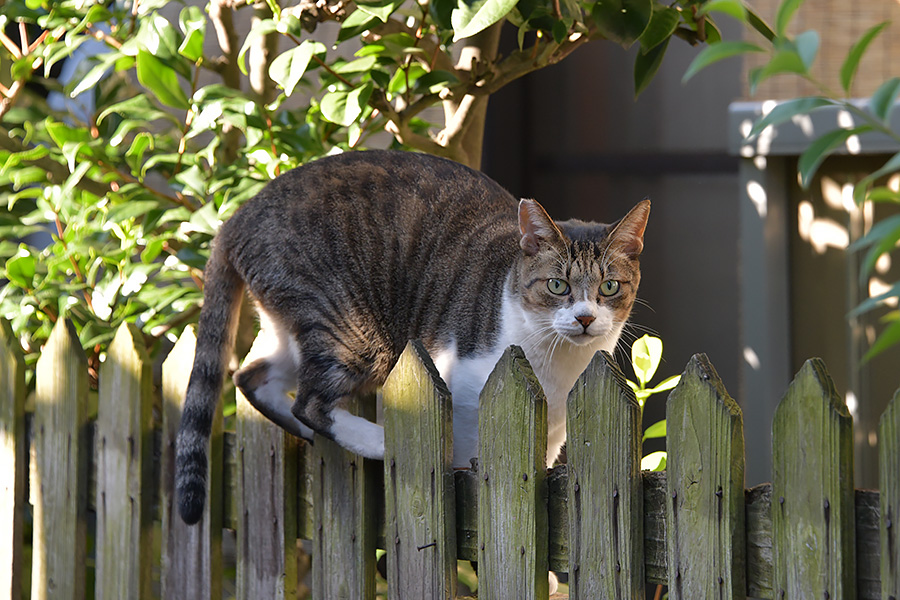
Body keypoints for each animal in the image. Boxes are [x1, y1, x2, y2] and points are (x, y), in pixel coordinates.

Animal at [174, 149, 648, 524]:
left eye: (609, 287)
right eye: (557, 286)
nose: (585, 318)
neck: (559, 367)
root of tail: (235, 218)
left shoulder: (552, 429)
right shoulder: (466, 385)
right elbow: (473, 451)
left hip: (295, 328)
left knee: (253, 377)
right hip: (350, 328)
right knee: (309, 402)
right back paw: (381, 443)